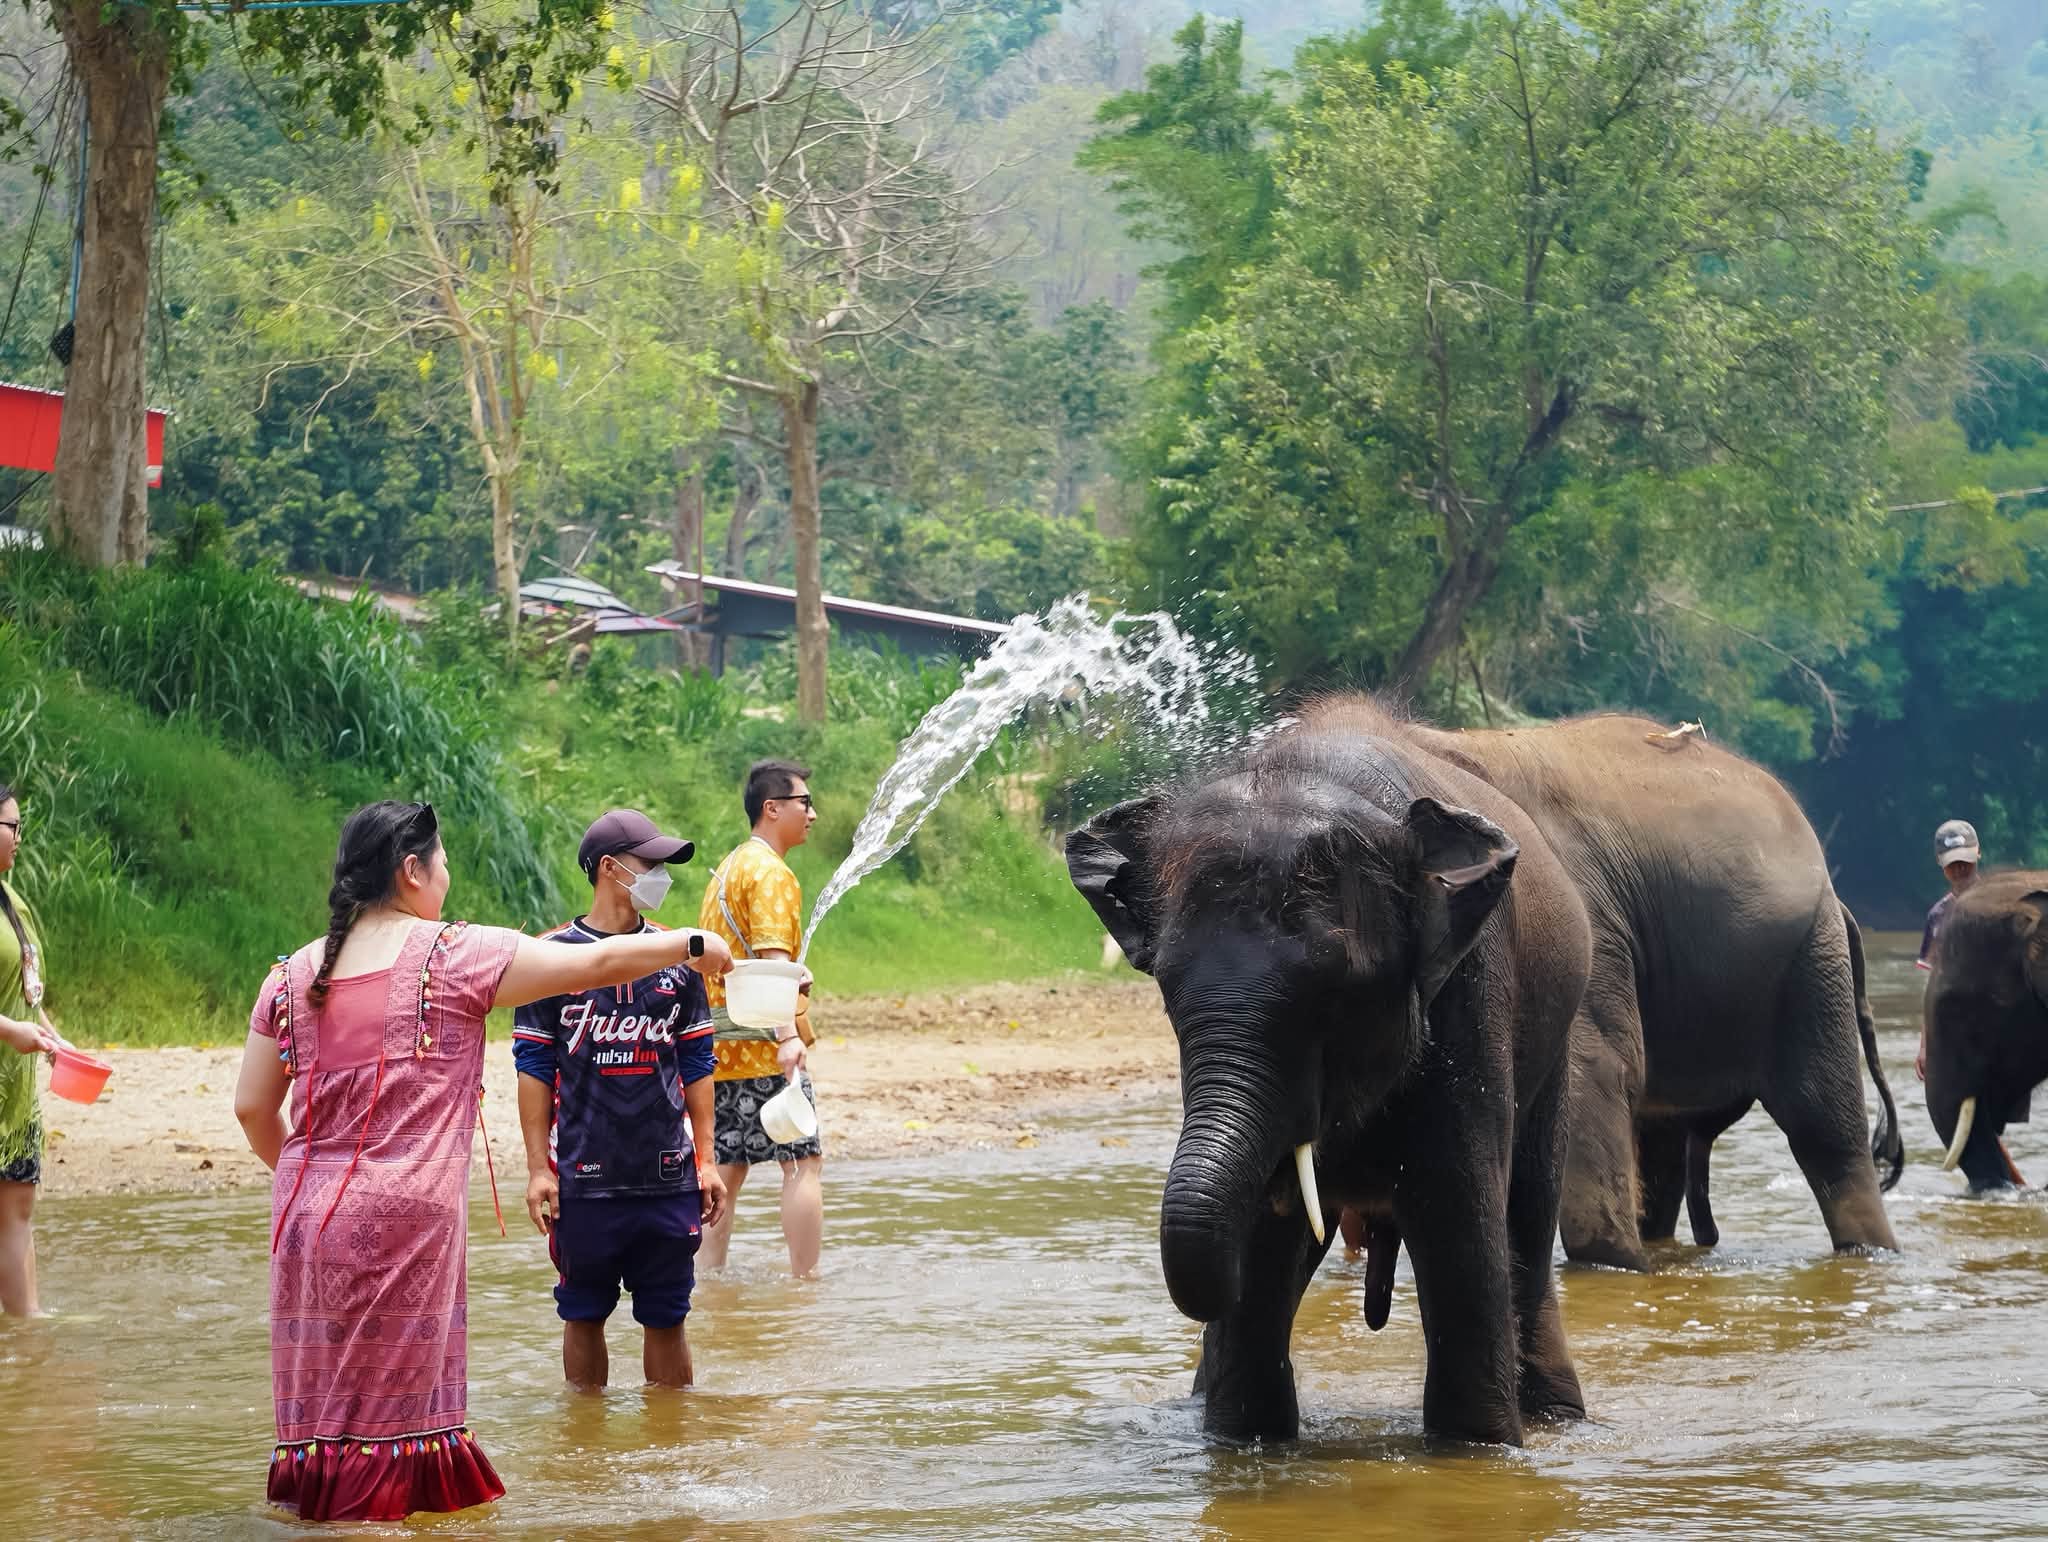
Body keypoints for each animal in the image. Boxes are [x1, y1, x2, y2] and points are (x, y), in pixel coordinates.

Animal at [1065, 697, 1593, 1448]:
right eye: (1164, 986)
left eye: (1338, 991)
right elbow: (1263, 1250)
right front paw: (1243, 1444)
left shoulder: (1470, 994)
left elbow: (1460, 1225)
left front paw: (1479, 1453)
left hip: (1554, 1051)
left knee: (1526, 1219)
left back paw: (1560, 1420)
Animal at [1403, 714, 1902, 1269]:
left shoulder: (1584, 915)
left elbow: (1598, 1065)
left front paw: (1613, 1266)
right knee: (1665, 1142)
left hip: (1810, 960)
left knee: (1822, 1126)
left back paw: (1866, 1250)